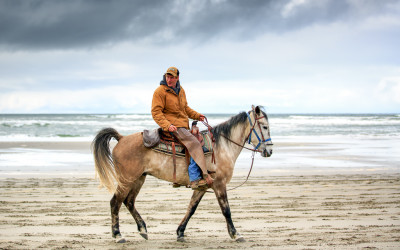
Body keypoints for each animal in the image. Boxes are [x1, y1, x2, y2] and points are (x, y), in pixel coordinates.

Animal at [91, 105, 272, 242]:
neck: (222, 146)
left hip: (138, 179)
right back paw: (118, 235)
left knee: (129, 202)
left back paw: (142, 229)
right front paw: (235, 234)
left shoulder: (202, 187)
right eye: (264, 127)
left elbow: (191, 208)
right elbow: (226, 210)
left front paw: (180, 232)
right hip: (127, 180)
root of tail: (121, 138)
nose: (269, 151)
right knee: (115, 203)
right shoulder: (219, 184)